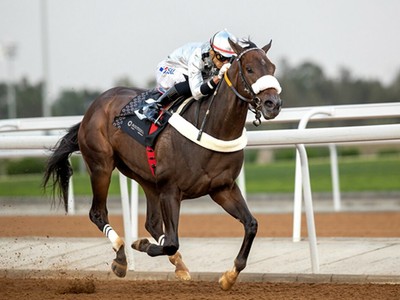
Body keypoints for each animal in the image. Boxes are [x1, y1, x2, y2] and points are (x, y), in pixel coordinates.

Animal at [43, 38, 282, 290]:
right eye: (249, 69)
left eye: (272, 68)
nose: (273, 104)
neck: (210, 127)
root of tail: (95, 105)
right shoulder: (171, 190)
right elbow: (171, 242)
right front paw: (140, 245)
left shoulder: (222, 188)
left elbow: (251, 224)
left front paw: (230, 276)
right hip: (101, 166)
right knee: (98, 213)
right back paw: (121, 257)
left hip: (147, 178)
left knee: (152, 223)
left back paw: (179, 265)